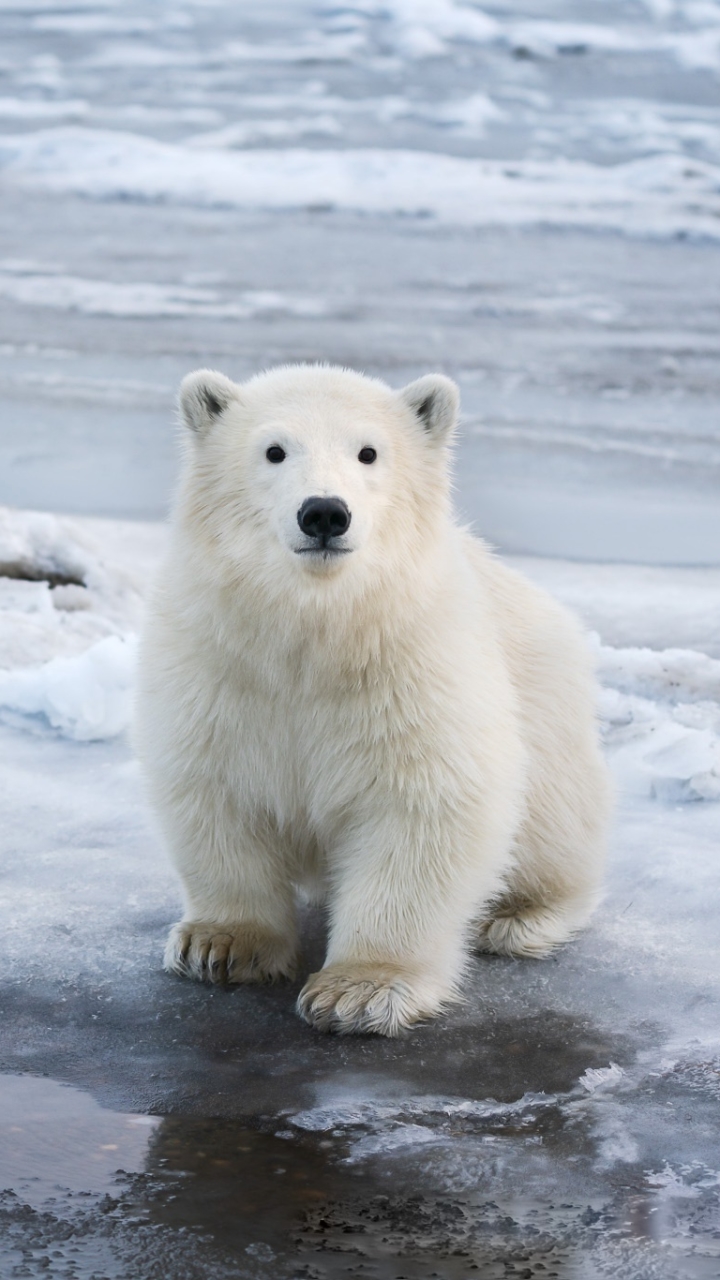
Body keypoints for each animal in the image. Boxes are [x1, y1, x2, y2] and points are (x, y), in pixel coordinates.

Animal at [133, 363, 604, 1039]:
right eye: (274, 450)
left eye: (369, 452)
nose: (325, 512)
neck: (318, 632)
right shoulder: (218, 664)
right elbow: (215, 786)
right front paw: (219, 944)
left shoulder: (415, 668)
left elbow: (424, 804)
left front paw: (359, 990)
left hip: (549, 711)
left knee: (552, 831)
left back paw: (515, 917)